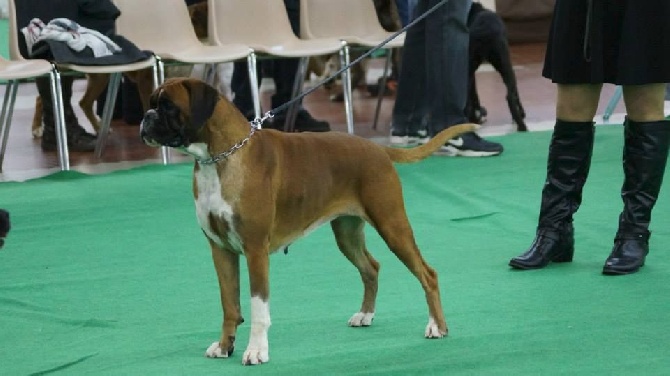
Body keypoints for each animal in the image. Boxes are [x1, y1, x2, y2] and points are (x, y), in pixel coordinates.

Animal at [142, 78, 478, 366]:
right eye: (151, 103)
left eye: (168, 106)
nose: (146, 117)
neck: (221, 157)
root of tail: (376, 148)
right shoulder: (220, 250)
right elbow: (229, 305)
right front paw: (225, 346)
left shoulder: (255, 251)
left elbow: (257, 307)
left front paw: (256, 351)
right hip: (347, 234)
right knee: (371, 267)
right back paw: (365, 315)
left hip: (392, 225)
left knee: (427, 273)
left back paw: (437, 327)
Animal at [468, 1, 532, 131]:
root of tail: (482, 33)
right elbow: (516, 92)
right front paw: (522, 113)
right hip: (506, 65)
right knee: (509, 96)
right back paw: (521, 125)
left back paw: (473, 119)